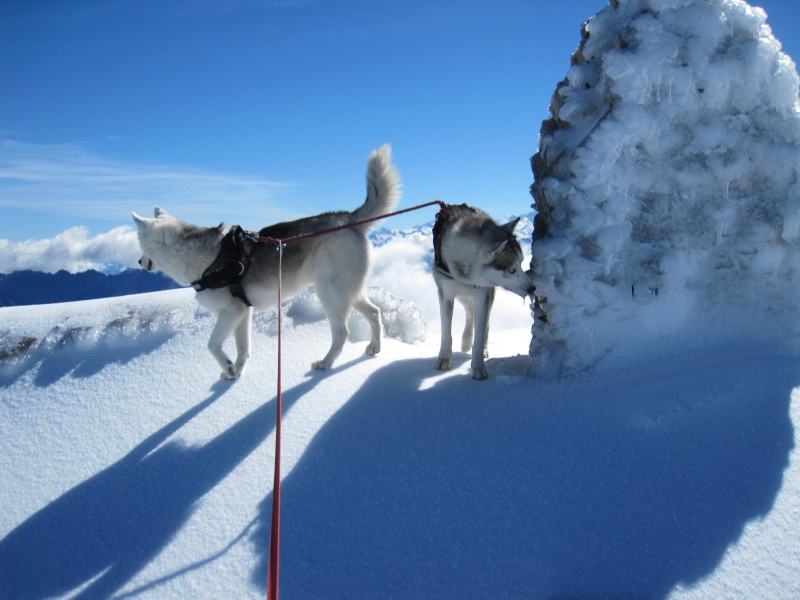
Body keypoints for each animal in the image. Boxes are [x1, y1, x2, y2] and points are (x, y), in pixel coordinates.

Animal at [135, 145, 406, 380]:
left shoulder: (231, 312)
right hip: (347, 291)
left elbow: (212, 345)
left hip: (330, 293)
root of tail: (348, 219)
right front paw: (235, 372)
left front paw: (227, 365)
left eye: (138, 244)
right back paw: (374, 347)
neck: (198, 257)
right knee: (374, 312)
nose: (138, 261)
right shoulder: (242, 312)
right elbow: (243, 348)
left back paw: (326, 363)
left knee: (342, 332)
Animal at [432, 204, 536, 378]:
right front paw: (444, 358)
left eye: (521, 263)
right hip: (460, 293)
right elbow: (446, 332)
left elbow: (480, 335)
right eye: (511, 270)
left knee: (484, 321)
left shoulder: (482, 295)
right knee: (469, 311)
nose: (532, 288)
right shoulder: (446, 294)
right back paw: (466, 340)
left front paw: (478, 367)